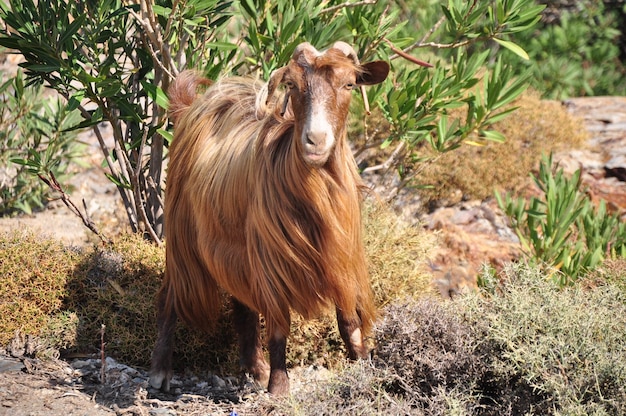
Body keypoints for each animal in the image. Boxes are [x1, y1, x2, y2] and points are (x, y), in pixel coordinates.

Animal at [149, 42, 388, 396]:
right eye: (293, 86)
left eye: (349, 84)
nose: (315, 140)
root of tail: (191, 110)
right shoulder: (271, 260)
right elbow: (278, 326)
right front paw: (279, 387)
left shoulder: (340, 256)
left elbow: (348, 320)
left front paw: (363, 363)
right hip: (183, 237)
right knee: (170, 295)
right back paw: (160, 372)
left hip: (234, 250)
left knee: (242, 305)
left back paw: (256, 368)